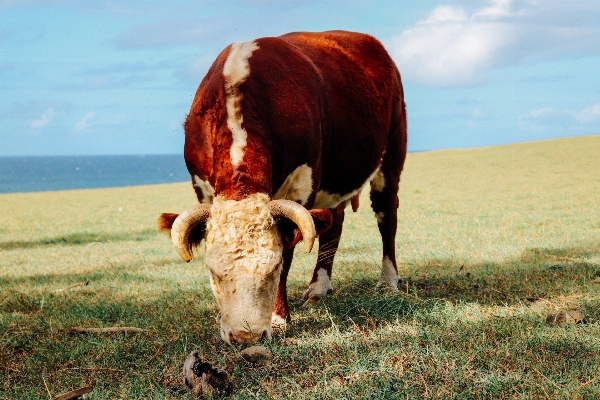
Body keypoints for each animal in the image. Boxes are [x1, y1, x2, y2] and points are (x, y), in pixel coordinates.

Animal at [159, 30, 408, 344]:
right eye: (213, 273)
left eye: (273, 268)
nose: (246, 336)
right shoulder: (201, 186)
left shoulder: (302, 185)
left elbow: (290, 251)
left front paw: (278, 317)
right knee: (334, 223)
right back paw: (318, 288)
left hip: (391, 155)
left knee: (387, 217)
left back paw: (388, 280)